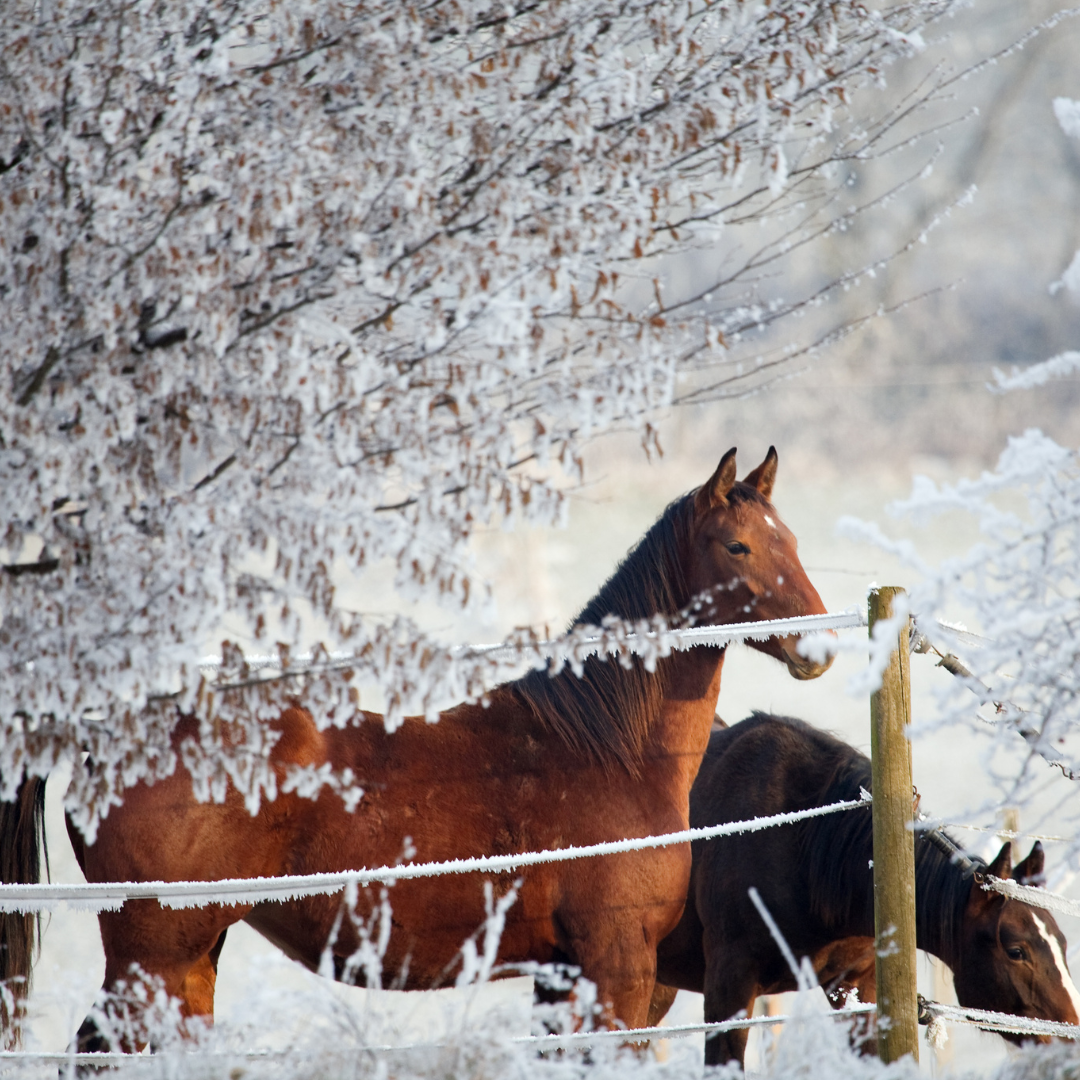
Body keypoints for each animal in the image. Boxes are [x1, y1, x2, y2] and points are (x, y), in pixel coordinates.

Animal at [1, 447, 834, 1053]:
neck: (604, 746)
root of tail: (104, 730)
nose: (819, 649)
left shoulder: (563, 975)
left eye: (793, 540)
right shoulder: (615, 969)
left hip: (191, 960)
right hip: (156, 960)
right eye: (737, 545)